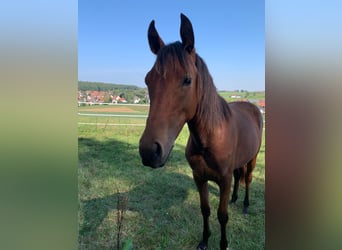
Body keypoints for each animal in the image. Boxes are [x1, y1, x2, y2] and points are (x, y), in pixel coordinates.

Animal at [139, 13, 262, 250]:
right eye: (148, 80)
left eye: (187, 79)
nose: (149, 151)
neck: (209, 139)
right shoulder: (199, 178)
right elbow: (205, 210)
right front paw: (204, 241)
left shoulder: (223, 180)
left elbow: (222, 215)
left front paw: (223, 244)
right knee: (239, 176)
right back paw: (235, 199)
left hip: (252, 158)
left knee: (249, 179)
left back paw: (245, 204)